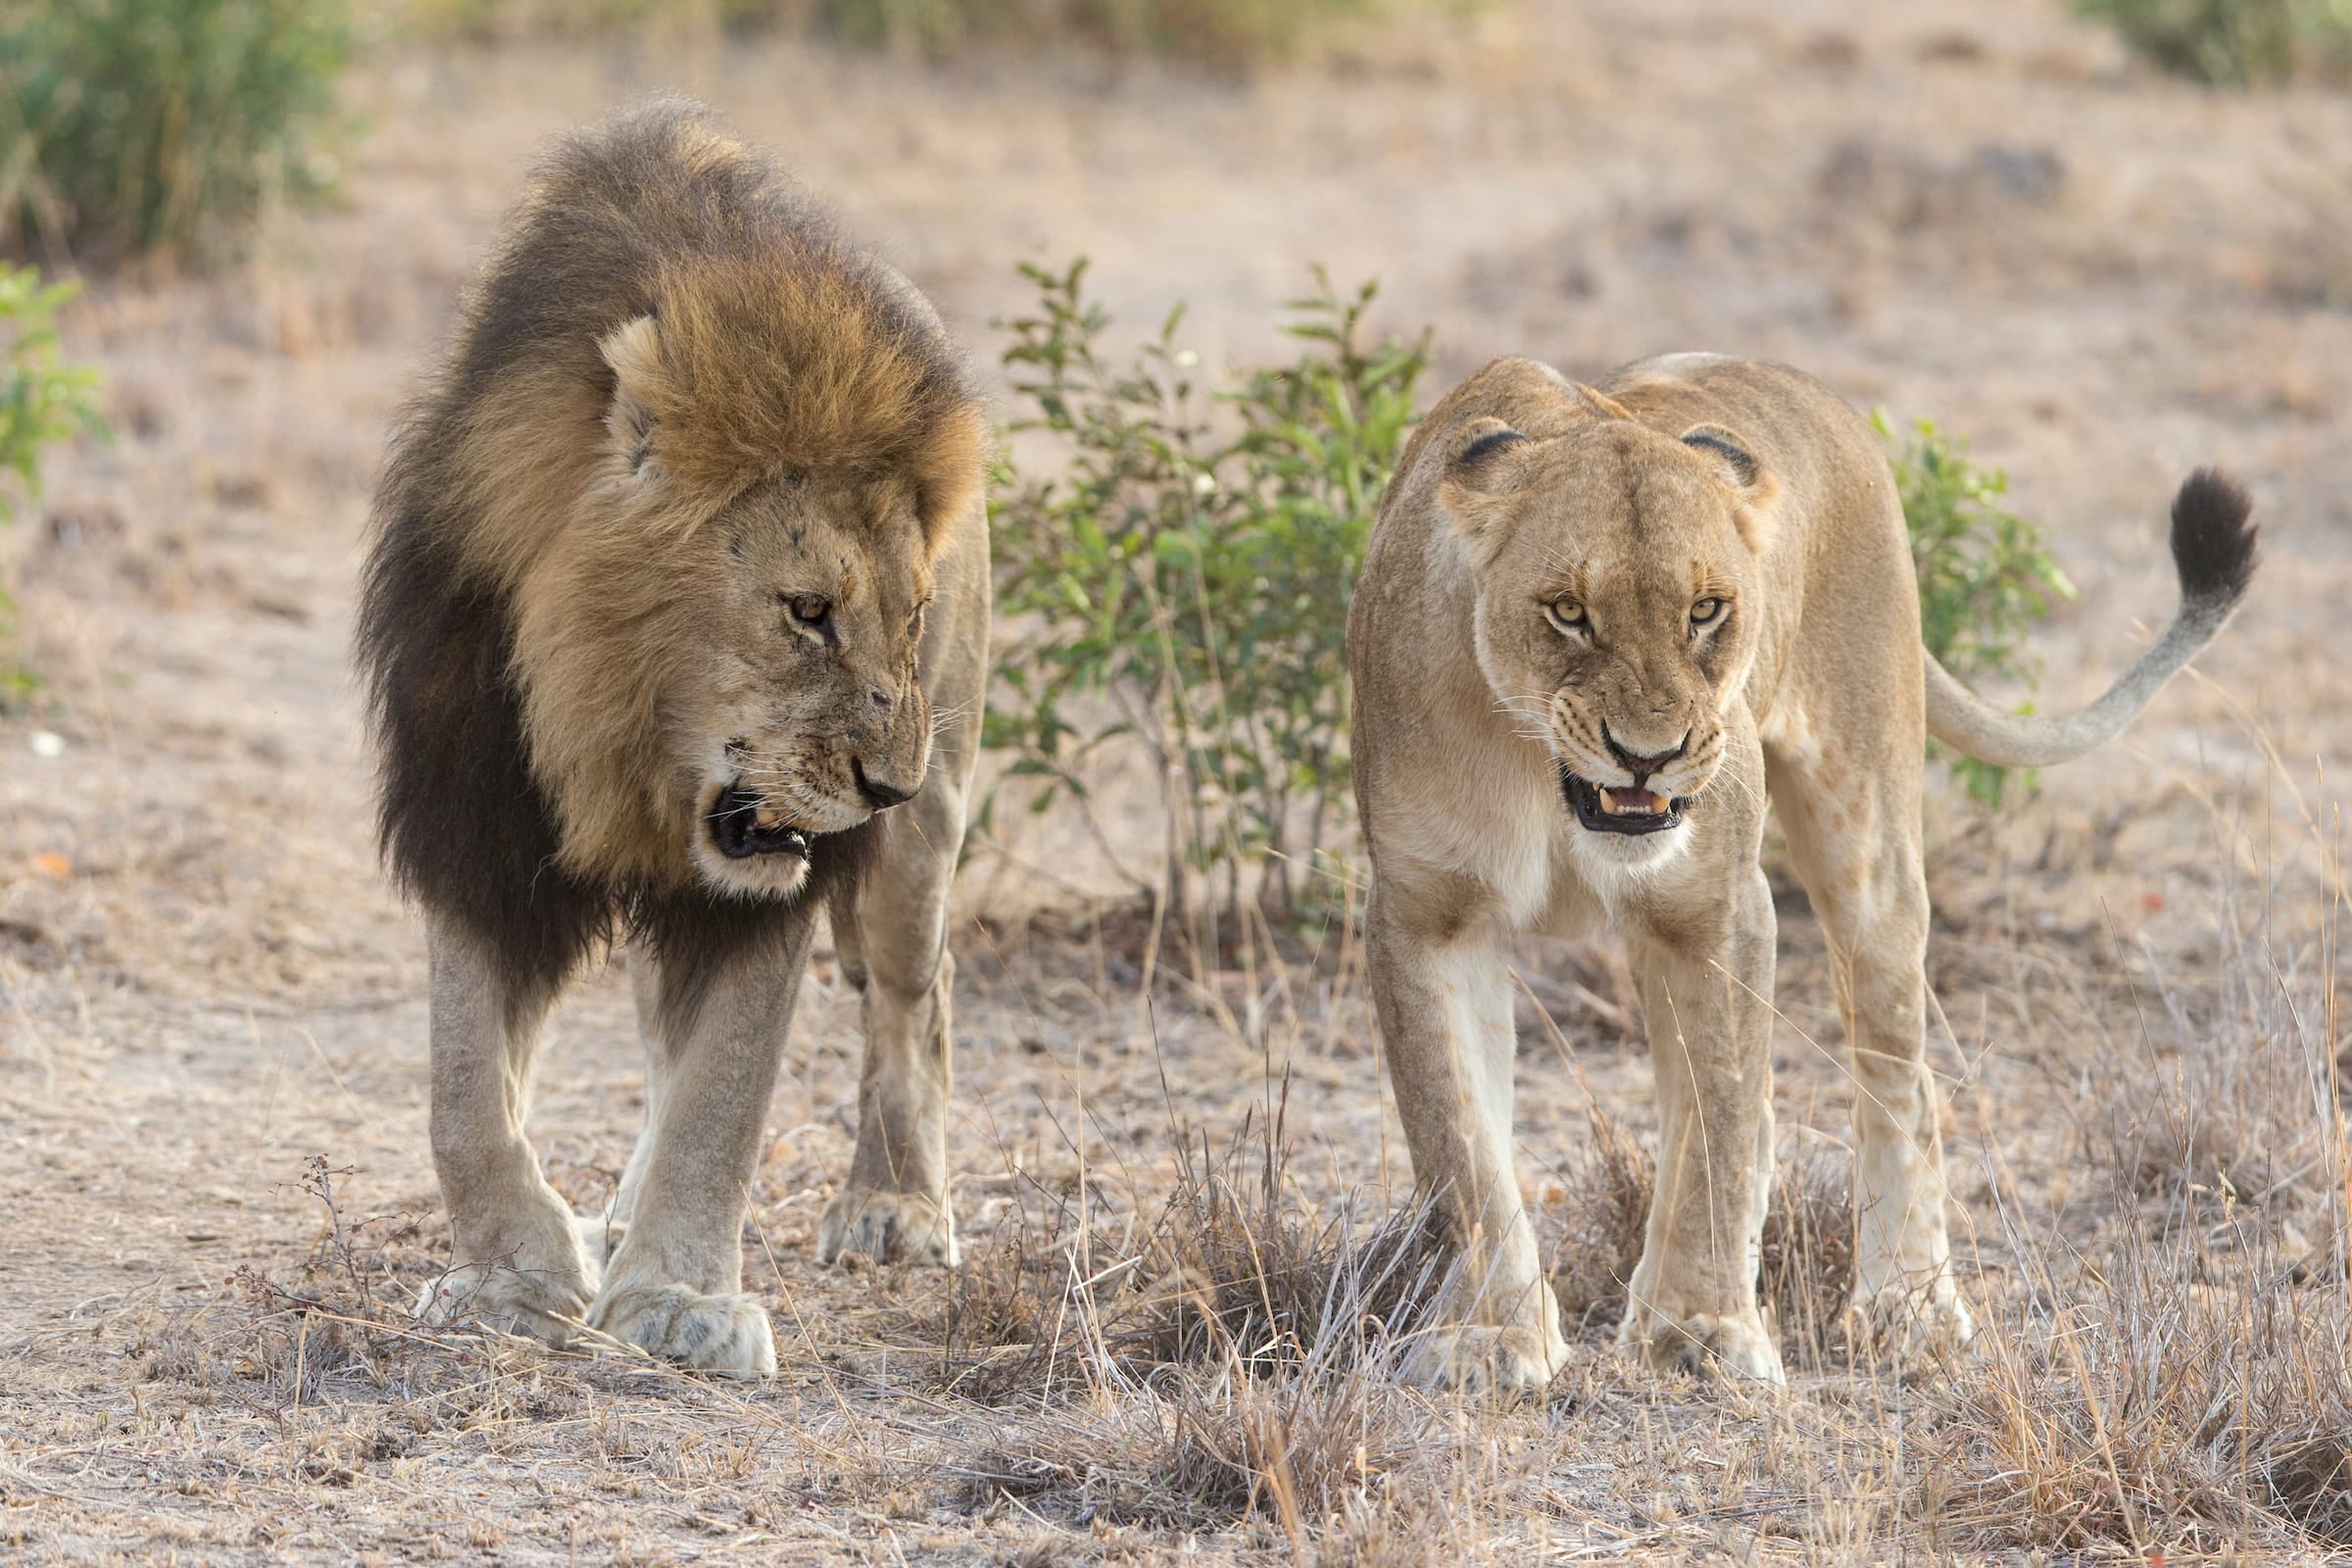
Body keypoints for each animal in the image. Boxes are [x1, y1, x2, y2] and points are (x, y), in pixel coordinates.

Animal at [356, 100, 991, 1377]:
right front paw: (511, 1275)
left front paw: (685, 1297)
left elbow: (726, 1099)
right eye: (808, 610)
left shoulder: (768, 889)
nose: (883, 785)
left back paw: (896, 1207)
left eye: (905, 615)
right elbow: (461, 1092)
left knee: (915, 998)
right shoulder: (475, 822)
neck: (615, 736)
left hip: (928, 833)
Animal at [1348, 353, 2255, 1390]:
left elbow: (1718, 1122)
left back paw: (1910, 1308)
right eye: (1569, 614)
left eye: (1706, 611)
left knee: (1899, 1071)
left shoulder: (1717, 906)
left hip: (1867, 831)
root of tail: (1808, 388)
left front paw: (1701, 1333)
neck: (1543, 771)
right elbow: (1463, 1149)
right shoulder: (1427, 913)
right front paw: (1491, 1336)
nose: (1649, 758)